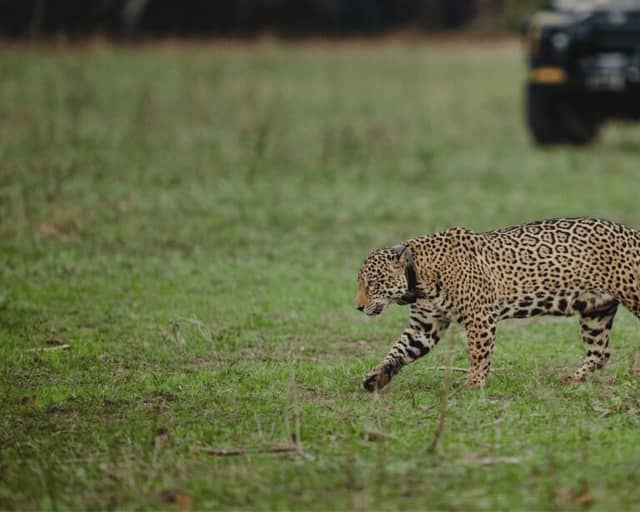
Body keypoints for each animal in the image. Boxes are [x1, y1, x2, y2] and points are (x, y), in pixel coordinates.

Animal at [356, 217, 640, 392]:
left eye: (371, 284)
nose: (358, 307)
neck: (420, 274)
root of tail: (632, 232)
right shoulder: (425, 325)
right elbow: (399, 350)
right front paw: (376, 377)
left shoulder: (479, 317)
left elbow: (479, 353)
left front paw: (474, 383)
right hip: (596, 311)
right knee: (600, 353)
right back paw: (572, 378)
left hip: (633, 295)